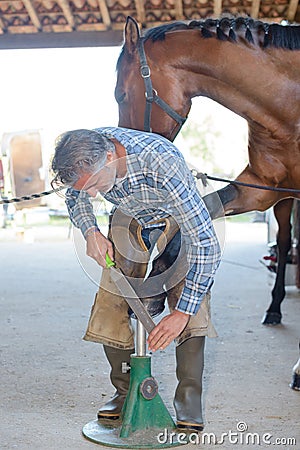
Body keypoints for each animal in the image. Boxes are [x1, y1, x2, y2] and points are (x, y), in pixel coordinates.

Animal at [115, 16, 300, 326]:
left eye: (120, 94)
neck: (288, 105)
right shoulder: (260, 189)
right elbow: (201, 214)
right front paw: (156, 288)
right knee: (284, 241)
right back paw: (274, 307)